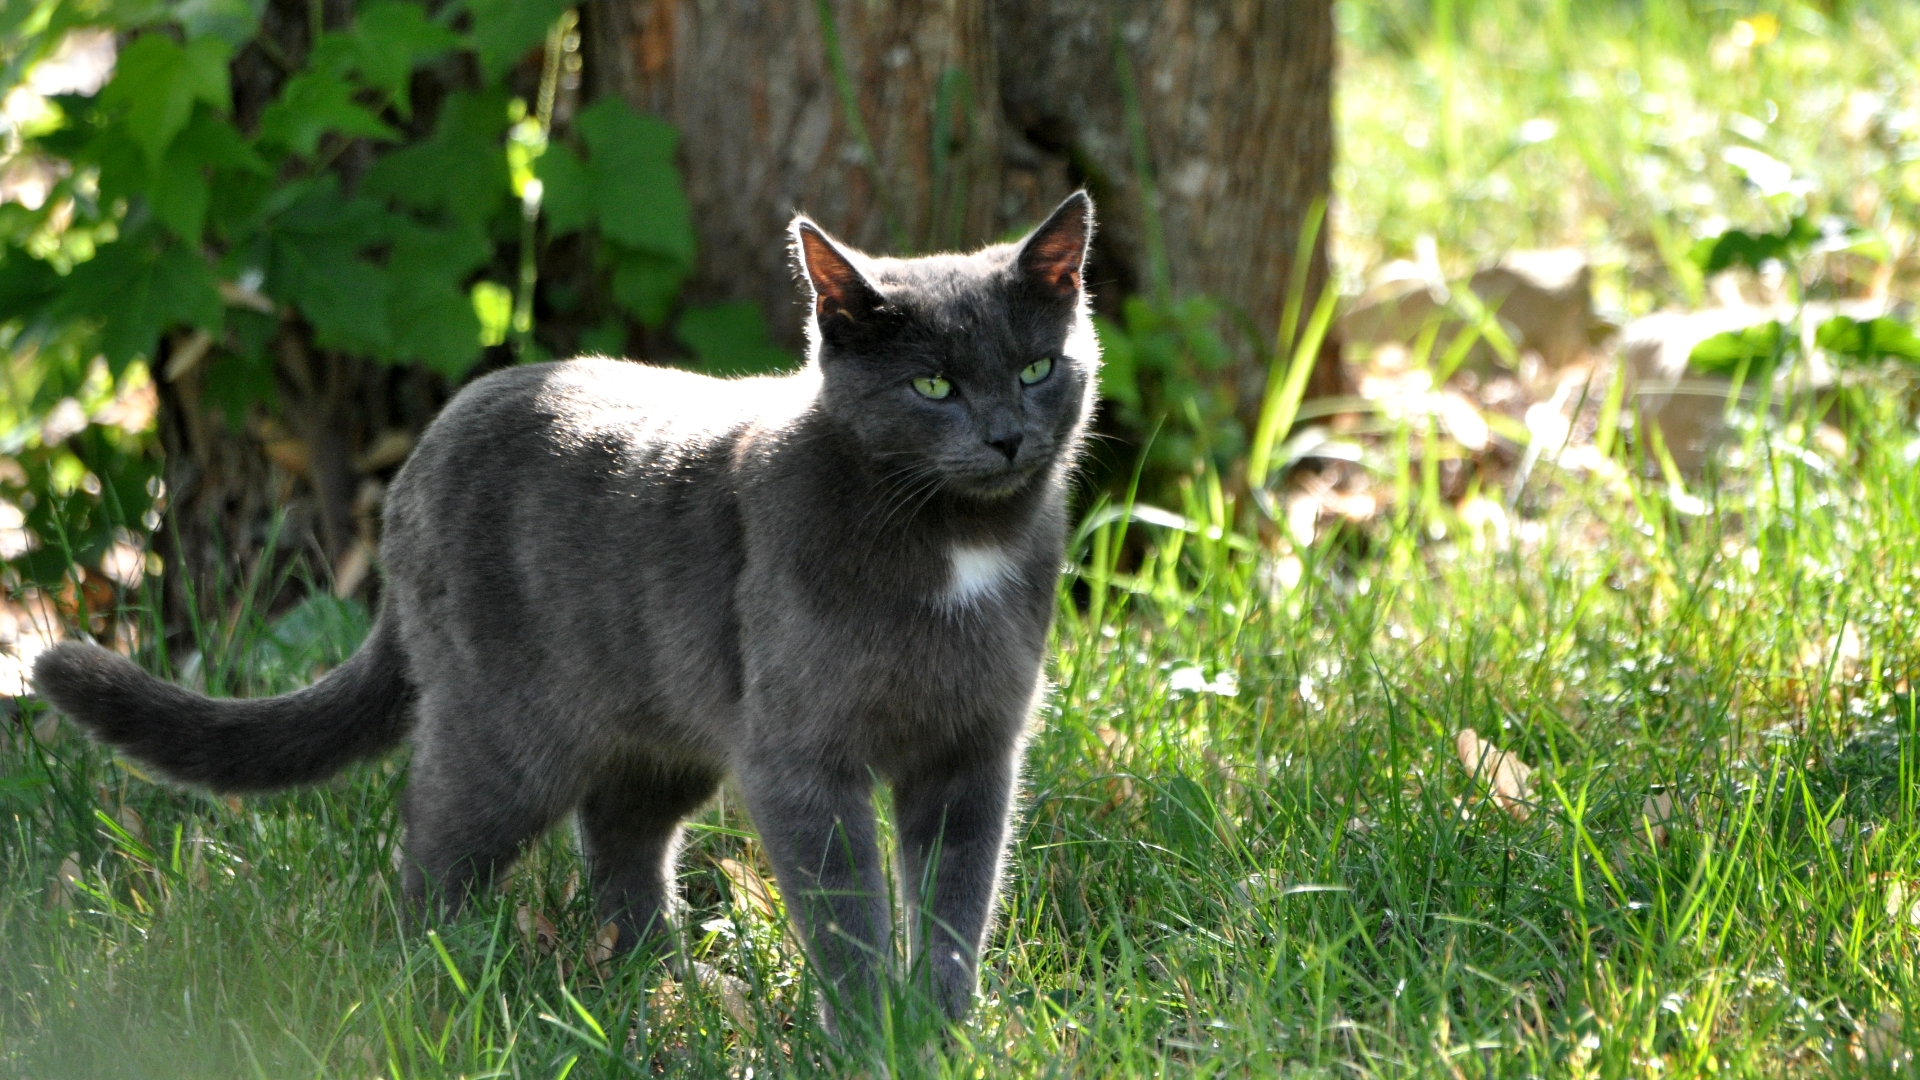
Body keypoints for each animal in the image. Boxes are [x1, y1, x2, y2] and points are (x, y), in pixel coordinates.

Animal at [33, 191, 1098, 1022]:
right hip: (509, 727)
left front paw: (943, 1024)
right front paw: (871, 1031)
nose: (1006, 436)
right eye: (934, 385)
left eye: (1038, 368)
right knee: (436, 835)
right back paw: (437, 976)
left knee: (621, 833)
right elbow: (845, 908)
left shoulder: (973, 749)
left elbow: (958, 897)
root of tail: (420, 459)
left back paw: (660, 982)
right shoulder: (801, 755)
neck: (954, 544)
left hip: (662, 721)